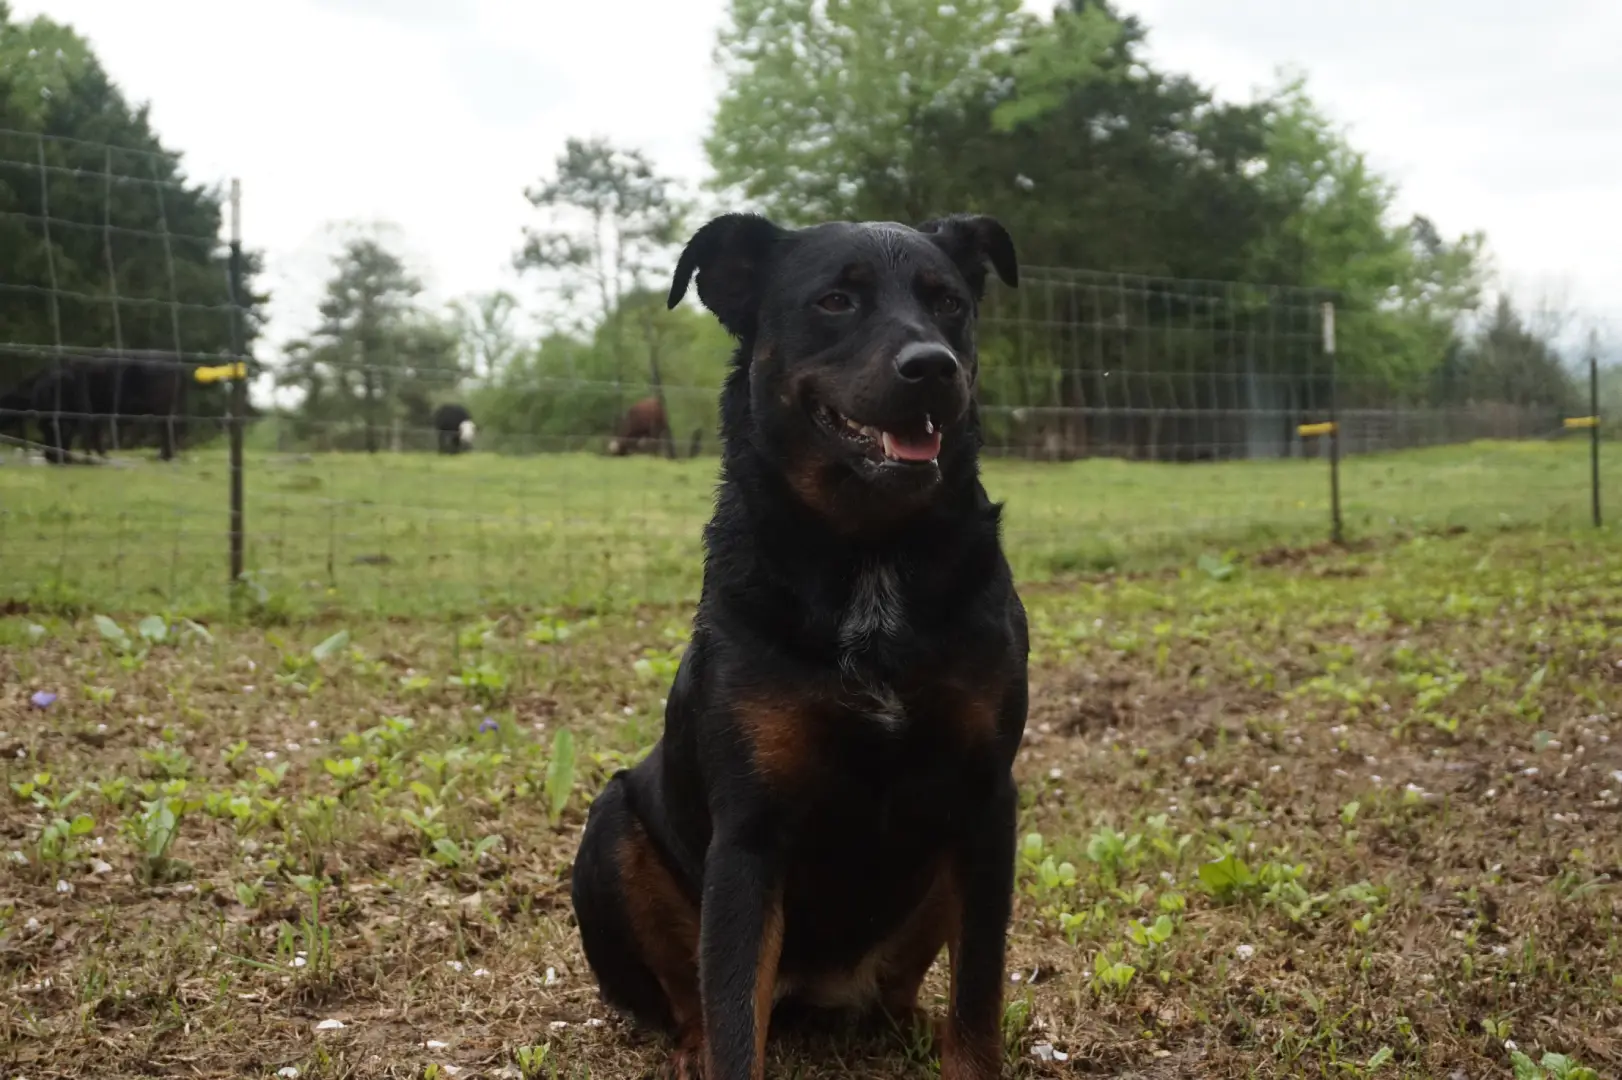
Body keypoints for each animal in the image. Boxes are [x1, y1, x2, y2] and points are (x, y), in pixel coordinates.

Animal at [570, 212, 1025, 1076]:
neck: (869, 557)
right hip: (612, 830)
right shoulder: (750, 833)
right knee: (694, 1001)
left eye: (949, 301)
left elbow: (978, 1001)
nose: (933, 366)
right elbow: (733, 1018)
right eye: (835, 300)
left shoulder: (987, 802)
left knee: (903, 991)